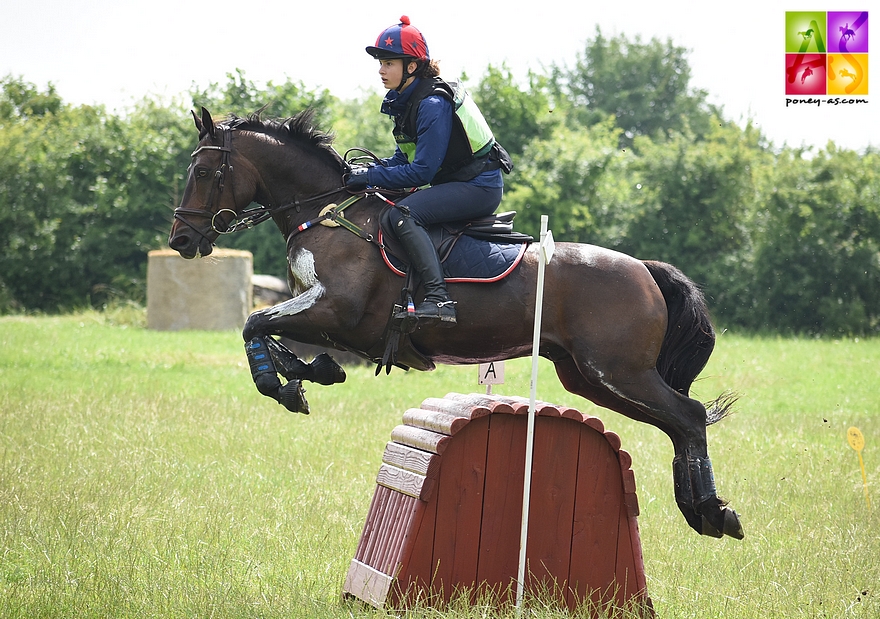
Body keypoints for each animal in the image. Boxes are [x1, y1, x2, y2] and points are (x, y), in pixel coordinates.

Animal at [167, 108, 744, 544]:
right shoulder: (321, 315)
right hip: (588, 376)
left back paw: (712, 512)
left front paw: (286, 385)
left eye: (206, 173)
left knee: (689, 415)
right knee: (677, 423)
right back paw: (701, 510)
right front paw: (311, 374)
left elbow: (253, 323)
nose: (181, 240)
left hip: (617, 371)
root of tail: (644, 270)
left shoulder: (338, 314)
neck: (329, 213)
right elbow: (269, 331)